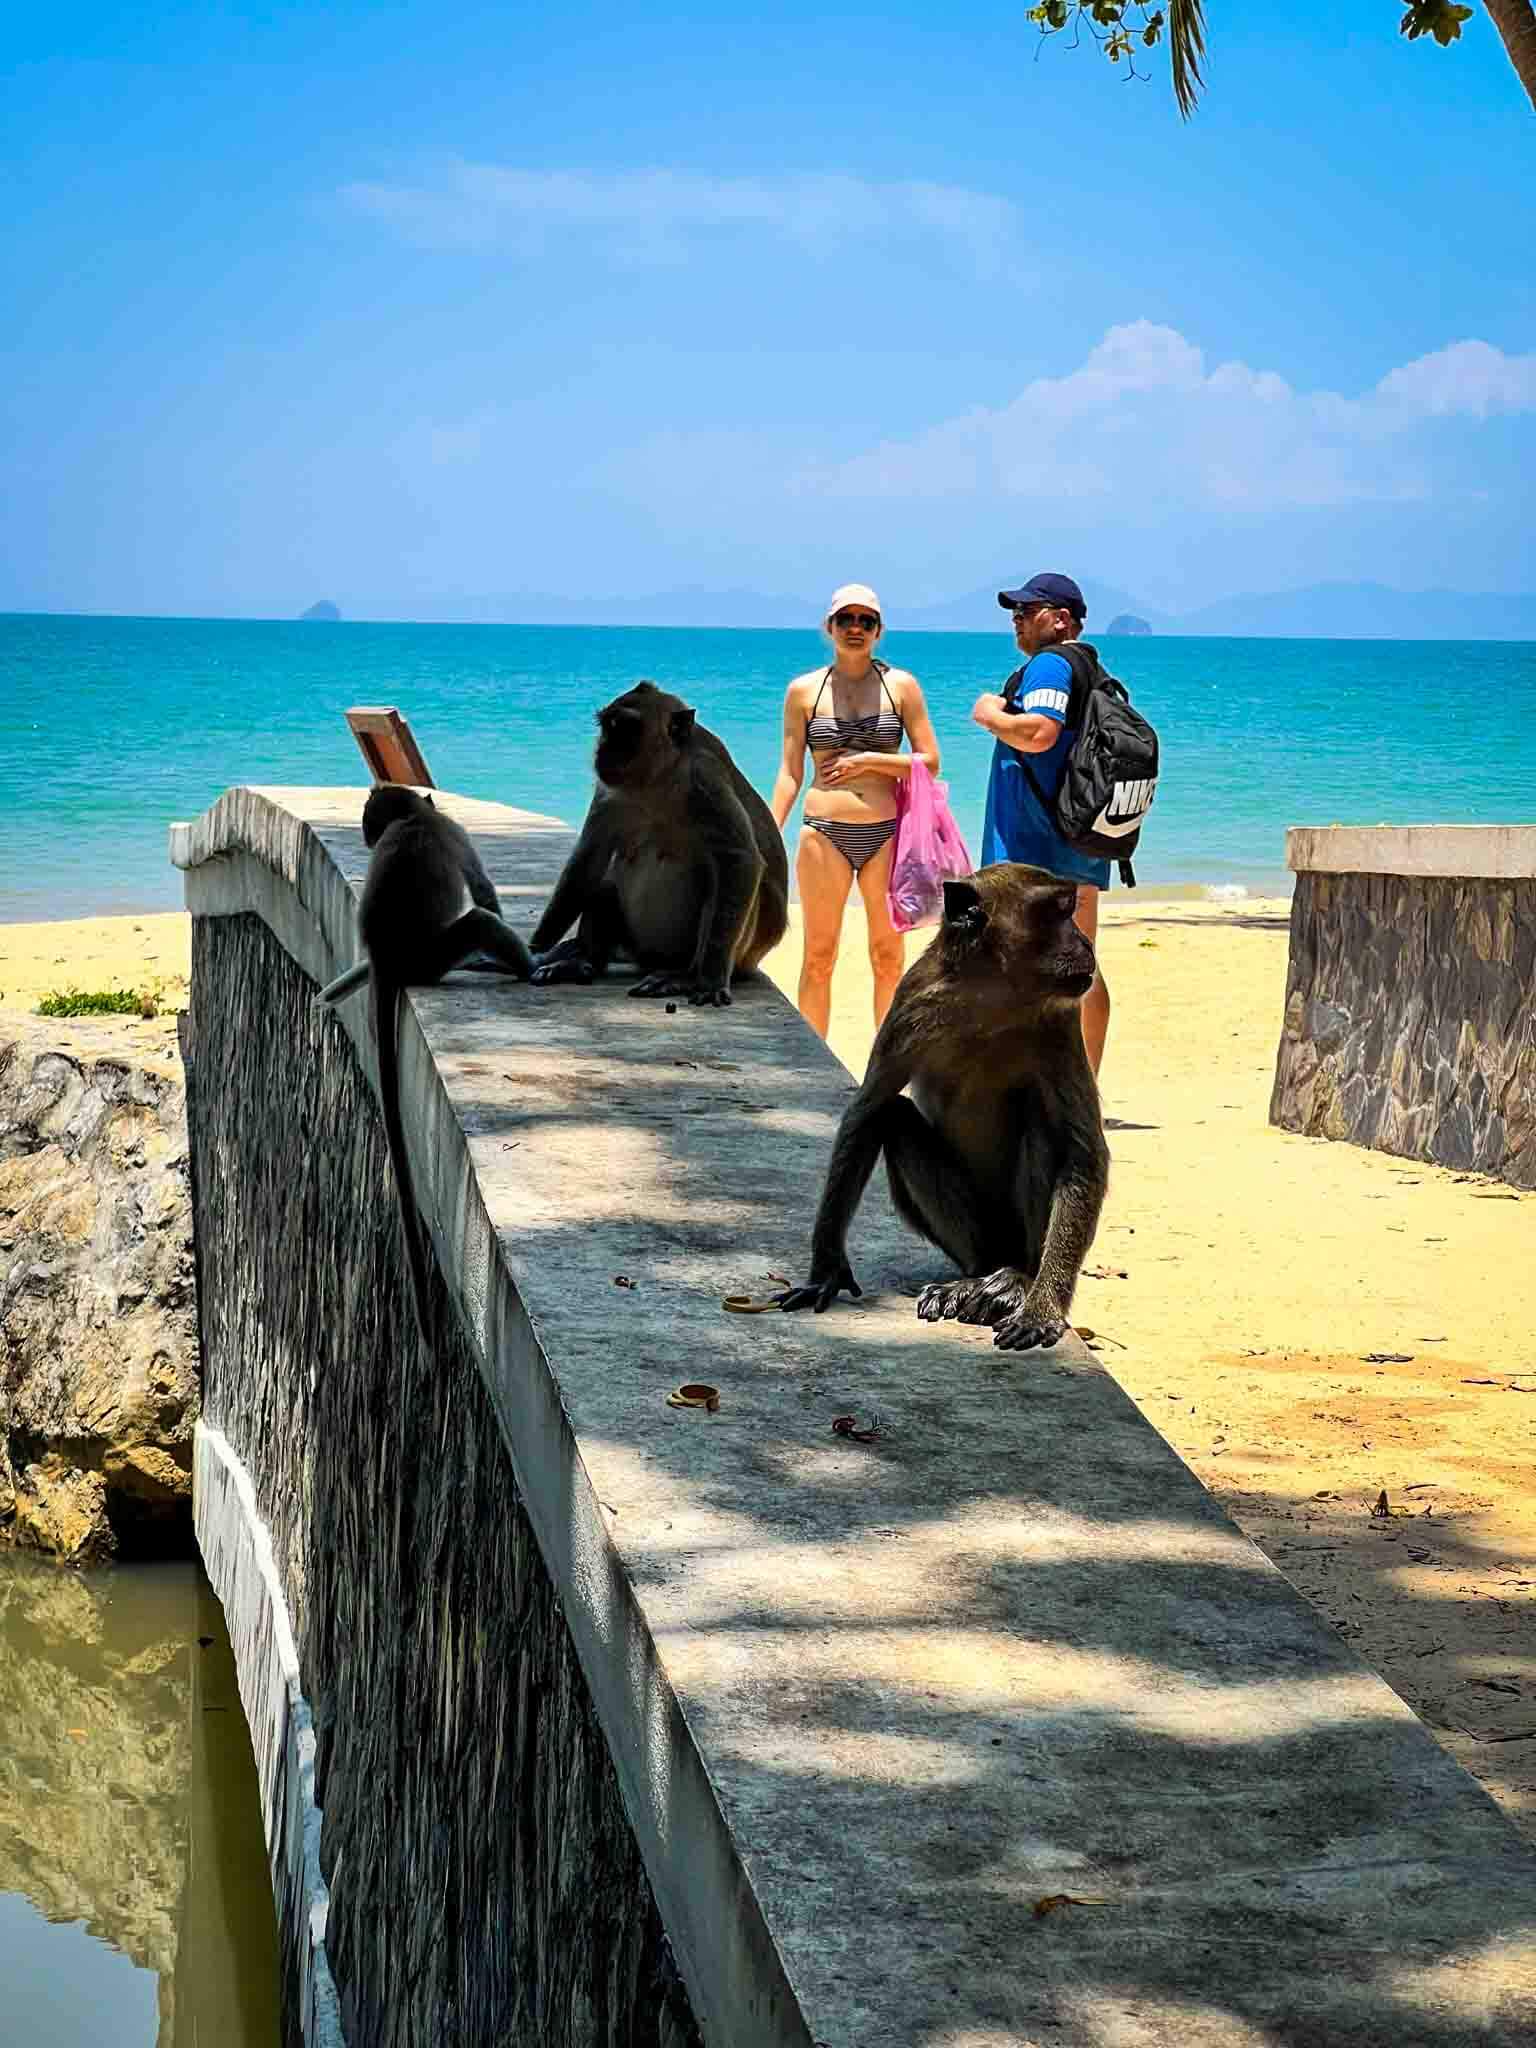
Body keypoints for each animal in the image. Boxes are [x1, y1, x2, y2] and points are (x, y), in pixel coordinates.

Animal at [320, 784, 534, 1343]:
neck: (414, 817)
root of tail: (388, 957)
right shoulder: (452, 832)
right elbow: (483, 890)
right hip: (435, 957)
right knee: (480, 921)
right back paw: (528, 967)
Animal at [529, 681, 789, 1008]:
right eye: (607, 726)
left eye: (626, 729)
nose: (602, 750)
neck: (658, 781)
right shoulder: (607, 792)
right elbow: (589, 857)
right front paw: (538, 945)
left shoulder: (706, 782)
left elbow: (740, 859)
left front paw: (709, 980)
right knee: (605, 885)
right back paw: (584, 959)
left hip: (736, 956)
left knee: (721, 889)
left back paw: (684, 976)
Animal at [776, 864, 1109, 1351]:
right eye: (1057, 913)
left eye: (1069, 910)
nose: (1085, 943)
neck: (992, 993)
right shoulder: (912, 1002)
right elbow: (868, 1109)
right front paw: (827, 1268)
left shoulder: (1060, 1021)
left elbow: (1083, 1150)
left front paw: (1043, 1306)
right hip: (974, 1238)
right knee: (895, 1118)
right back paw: (975, 1279)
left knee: (1040, 1126)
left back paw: (1018, 1279)